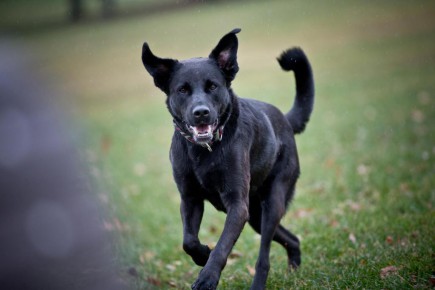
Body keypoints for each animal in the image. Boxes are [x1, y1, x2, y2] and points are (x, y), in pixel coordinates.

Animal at [141, 28, 316, 288]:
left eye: (212, 86)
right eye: (182, 90)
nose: (201, 113)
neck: (204, 151)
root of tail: (285, 120)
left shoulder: (237, 206)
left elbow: (223, 246)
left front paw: (208, 276)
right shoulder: (190, 198)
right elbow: (188, 241)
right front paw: (202, 254)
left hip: (272, 202)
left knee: (264, 255)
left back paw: (259, 283)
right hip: (255, 215)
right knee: (292, 239)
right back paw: (294, 270)